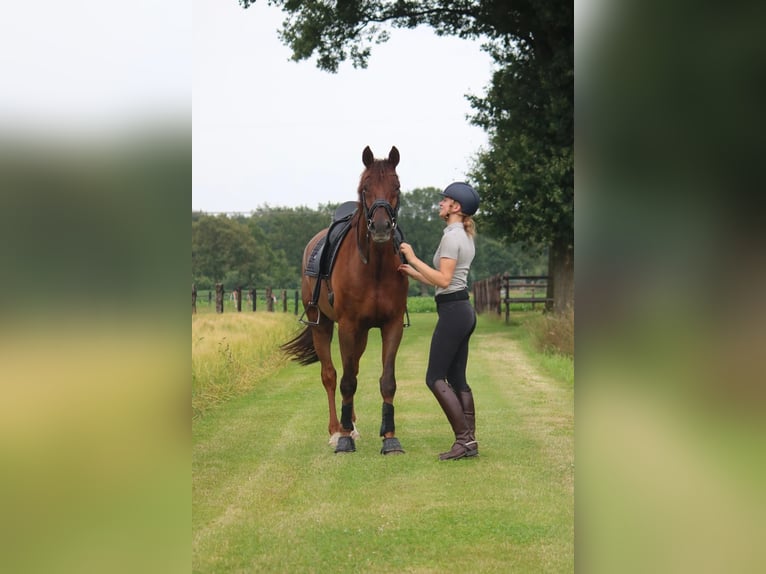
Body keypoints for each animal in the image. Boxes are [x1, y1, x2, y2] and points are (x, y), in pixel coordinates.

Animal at [282, 146, 412, 456]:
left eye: (397, 187)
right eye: (365, 188)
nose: (381, 227)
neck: (374, 268)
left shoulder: (391, 326)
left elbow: (386, 381)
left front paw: (390, 438)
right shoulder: (347, 327)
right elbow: (345, 381)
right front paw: (342, 439)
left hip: (360, 334)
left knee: (352, 368)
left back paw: (350, 424)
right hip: (322, 325)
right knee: (331, 375)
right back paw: (337, 430)